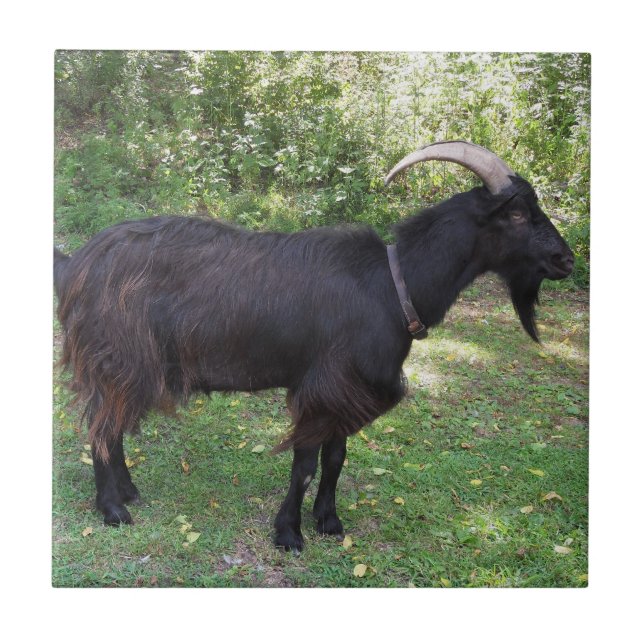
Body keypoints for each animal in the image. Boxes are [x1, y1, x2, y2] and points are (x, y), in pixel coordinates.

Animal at [54, 141, 574, 552]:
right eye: (516, 213)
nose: (565, 259)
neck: (391, 285)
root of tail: (77, 263)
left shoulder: (348, 390)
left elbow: (336, 459)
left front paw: (329, 521)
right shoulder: (321, 387)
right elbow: (303, 463)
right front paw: (289, 533)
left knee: (111, 425)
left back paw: (128, 492)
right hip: (117, 358)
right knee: (102, 426)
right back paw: (113, 510)